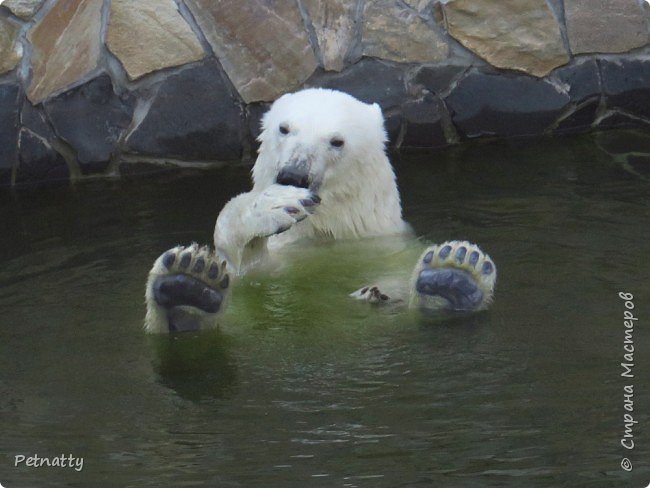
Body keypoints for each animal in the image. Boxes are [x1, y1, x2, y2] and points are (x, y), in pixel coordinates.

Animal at [143, 87, 496, 334]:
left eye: (337, 141)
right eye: (284, 128)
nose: (293, 174)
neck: (330, 231)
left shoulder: (387, 246)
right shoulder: (279, 259)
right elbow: (246, 267)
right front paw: (274, 204)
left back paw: (454, 278)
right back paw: (188, 289)